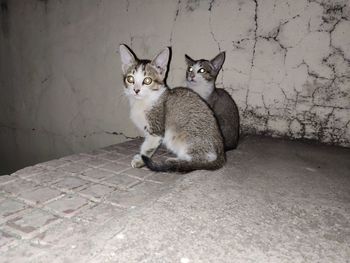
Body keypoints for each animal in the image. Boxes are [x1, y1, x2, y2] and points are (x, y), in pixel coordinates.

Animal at [119, 44, 226, 173]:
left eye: (147, 80)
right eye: (130, 79)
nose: (136, 90)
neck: (143, 101)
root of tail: (222, 153)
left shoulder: (156, 129)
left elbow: (148, 147)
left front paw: (140, 159)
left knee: (201, 161)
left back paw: (175, 161)